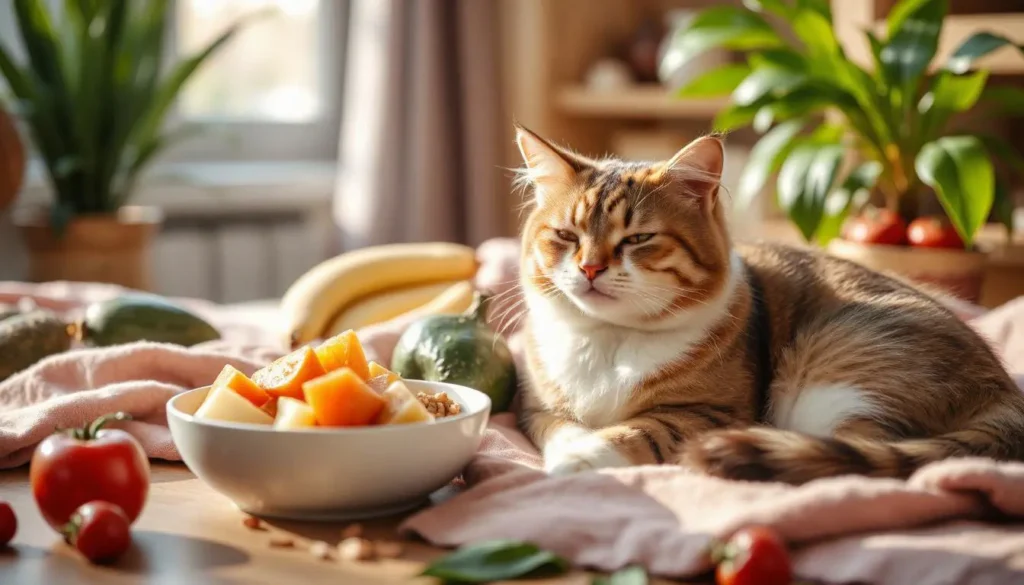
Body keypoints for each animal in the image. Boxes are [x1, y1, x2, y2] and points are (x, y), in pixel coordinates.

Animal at [516, 124, 1024, 485]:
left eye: (638, 239)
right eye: (566, 235)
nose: (589, 268)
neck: (610, 338)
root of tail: (1006, 391)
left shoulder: (711, 413)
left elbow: (641, 429)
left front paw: (581, 458)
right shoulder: (534, 407)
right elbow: (559, 427)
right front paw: (570, 446)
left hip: (838, 368)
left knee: (855, 454)